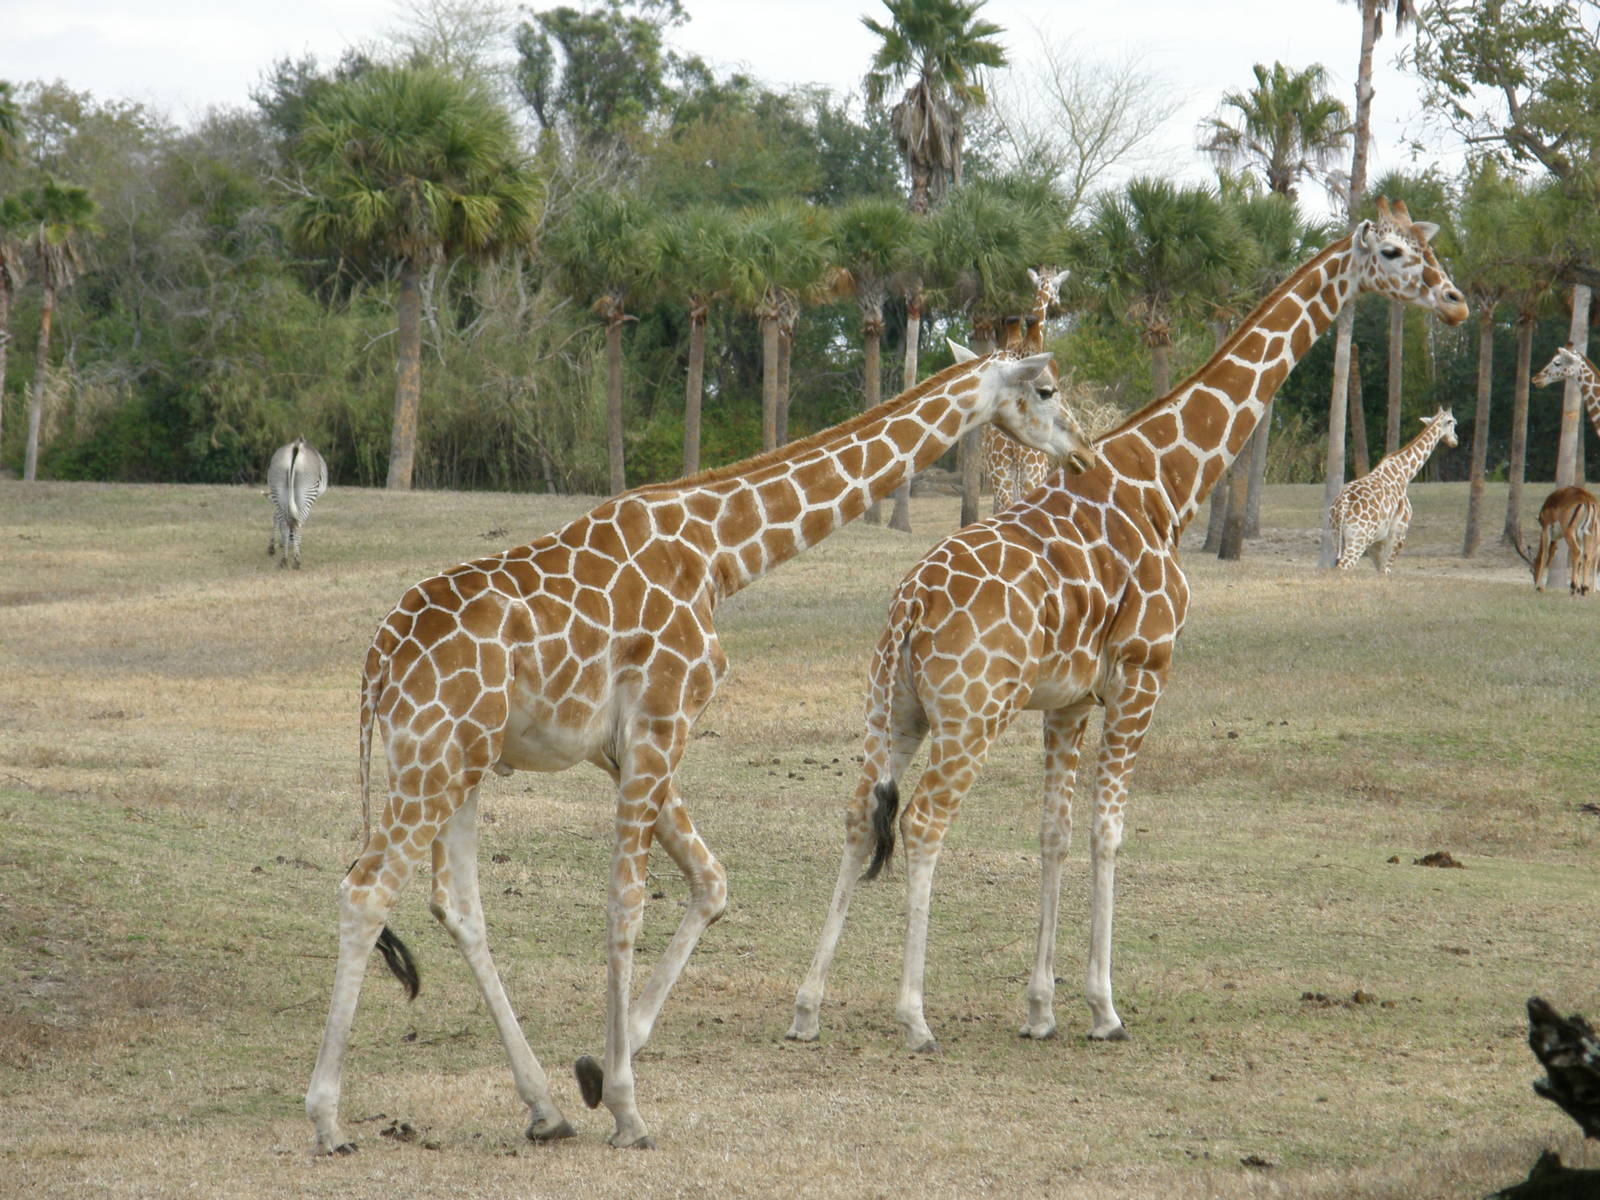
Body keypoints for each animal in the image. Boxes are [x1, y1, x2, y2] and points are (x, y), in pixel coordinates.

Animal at [303, 348, 1098, 1154]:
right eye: (1046, 390)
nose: (1084, 452)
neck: (719, 552)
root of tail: (376, 664)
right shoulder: (663, 718)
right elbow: (627, 903)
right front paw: (627, 1108)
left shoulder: (624, 743)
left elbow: (709, 882)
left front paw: (600, 1073)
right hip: (432, 761)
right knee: (366, 890)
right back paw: (329, 1118)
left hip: (460, 763)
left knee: (456, 906)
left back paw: (544, 1109)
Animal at [1330, 407, 1459, 573]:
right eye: (1453, 422)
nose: (1455, 440)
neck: (1405, 474)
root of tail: (1343, 505)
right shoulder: (1399, 531)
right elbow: (1386, 570)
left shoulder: (1377, 541)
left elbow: (1380, 571)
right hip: (1358, 538)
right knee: (1343, 567)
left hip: (1337, 537)